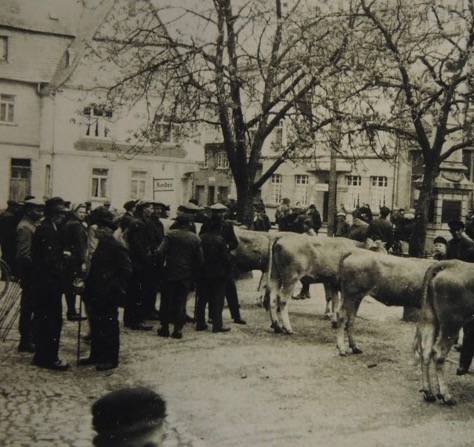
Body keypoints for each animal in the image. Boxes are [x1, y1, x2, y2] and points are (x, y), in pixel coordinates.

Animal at [414, 260, 474, 408]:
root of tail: (449, 263)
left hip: (430, 318)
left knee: (426, 351)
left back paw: (428, 393)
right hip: (452, 324)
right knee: (439, 353)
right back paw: (446, 396)